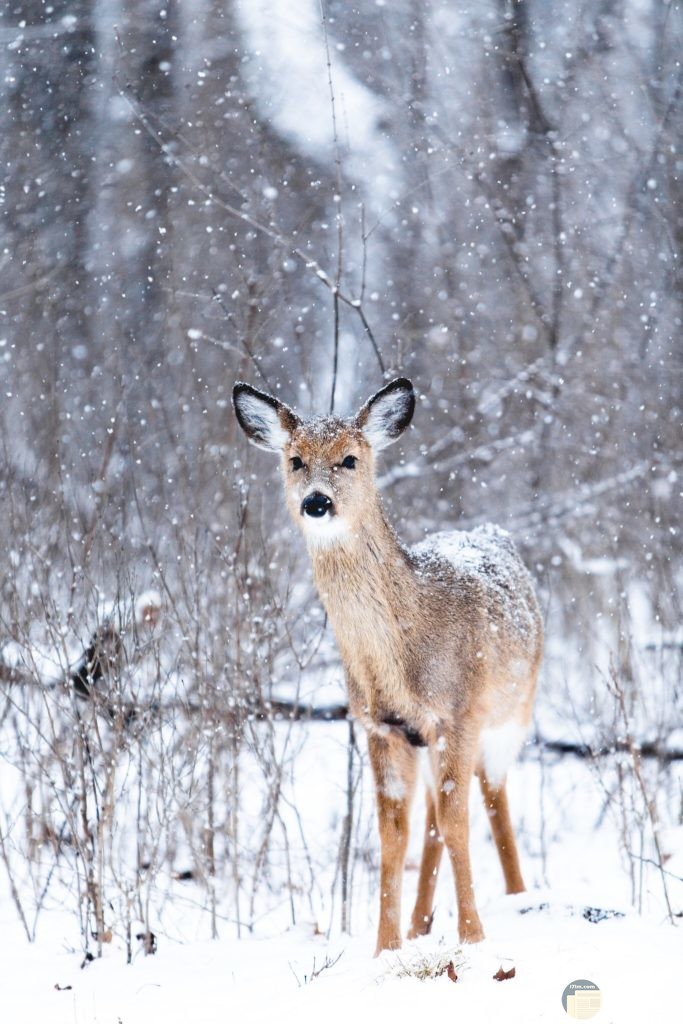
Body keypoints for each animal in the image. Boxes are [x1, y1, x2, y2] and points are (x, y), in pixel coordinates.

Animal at [235, 380, 544, 954]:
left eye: (350, 459)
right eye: (295, 460)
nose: (316, 502)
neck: (401, 658)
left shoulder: (459, 714)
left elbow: (458, 822)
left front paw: (473, 938)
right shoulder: (382, 727)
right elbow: (393, 836)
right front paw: (386, 947)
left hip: (513, 713)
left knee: (492, 798)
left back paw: (518, 896)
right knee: (431, 819)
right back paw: (422, 923)